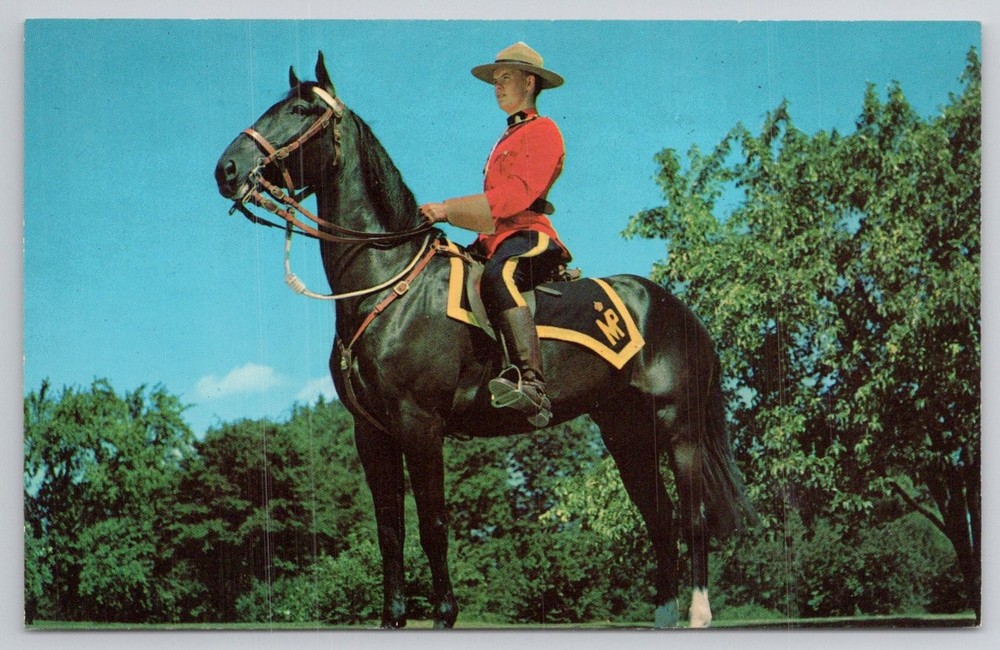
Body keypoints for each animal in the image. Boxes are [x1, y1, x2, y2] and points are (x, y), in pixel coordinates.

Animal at [214, 51, 752, 629]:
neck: (389, 282)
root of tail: (678, 309)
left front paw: (444, 615)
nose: (226, 170)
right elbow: (389, 530)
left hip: (679, 427)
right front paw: (393, 617)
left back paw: (698, 612)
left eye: (298, 110)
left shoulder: (420, 424)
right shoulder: (372, 433)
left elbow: (432, 525)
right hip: (626, 433)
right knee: (660, 518)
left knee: (693, 516)